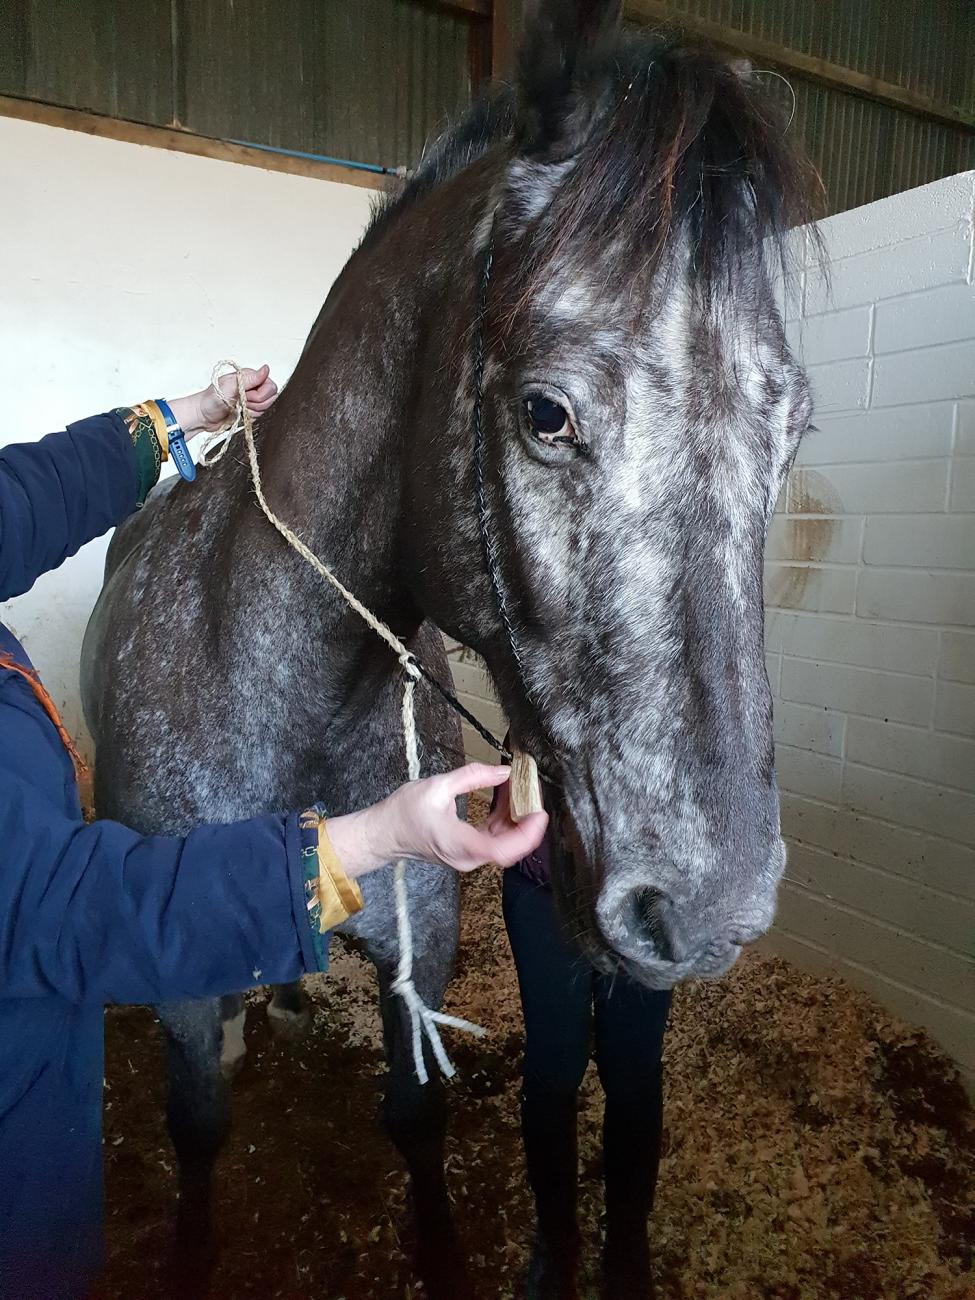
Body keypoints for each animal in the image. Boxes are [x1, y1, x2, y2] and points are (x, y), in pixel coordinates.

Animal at [81, 1, 819, 1293]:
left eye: (793, 433)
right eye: (544, 413)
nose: (709, 905)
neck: (279, 690)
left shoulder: (414, 949)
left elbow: (417, 1121)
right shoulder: (174, 979)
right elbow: (199, 1127)